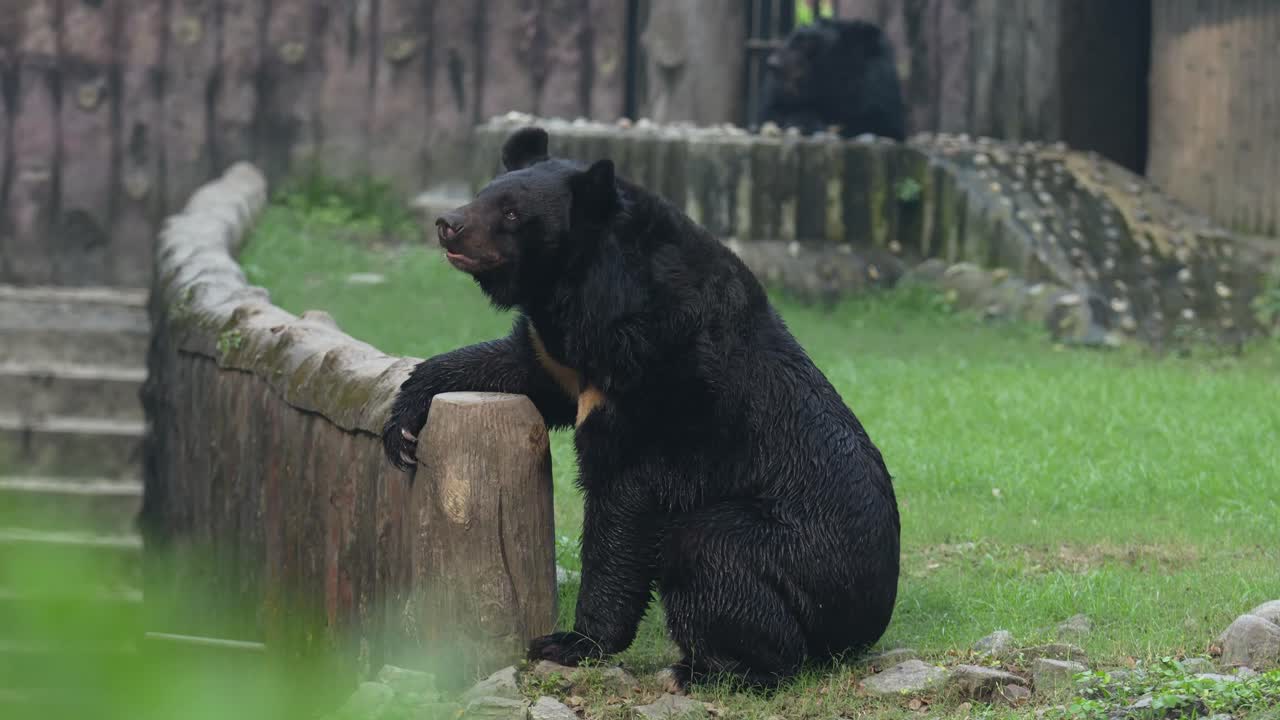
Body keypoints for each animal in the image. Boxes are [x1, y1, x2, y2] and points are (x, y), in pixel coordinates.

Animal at [381, 126, 901, 690]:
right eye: (482, 193)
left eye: (513, 213)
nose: (447, 225)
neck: (587, 288)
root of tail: (869, 621)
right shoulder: (566, 357)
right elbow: (519, 368)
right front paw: (402, 427)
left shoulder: (662, 373)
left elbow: (625, 499)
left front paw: (573, 642)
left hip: (801, 557)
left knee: (709, 551)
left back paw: (710, 670)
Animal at [755, 17, 907, 141]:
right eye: (790, 40)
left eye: (807, 44)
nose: (772, 64)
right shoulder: (778, 95)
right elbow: (773, 112)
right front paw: (805, 123)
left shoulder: (877, 92)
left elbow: (882, 124)